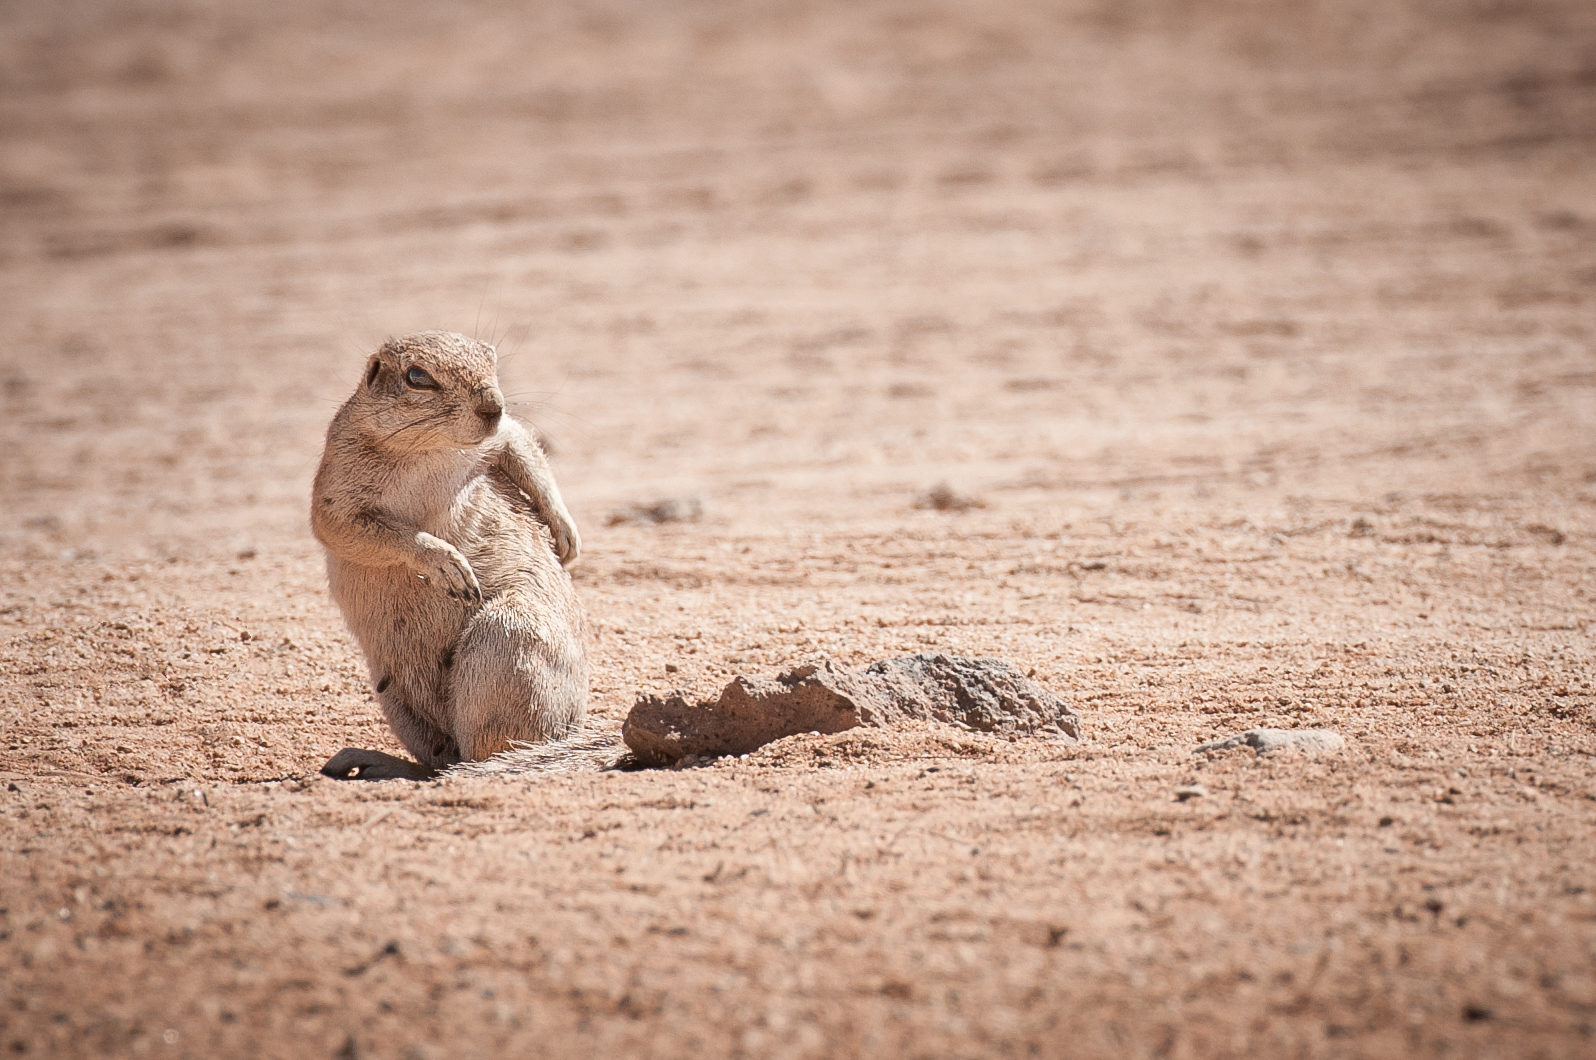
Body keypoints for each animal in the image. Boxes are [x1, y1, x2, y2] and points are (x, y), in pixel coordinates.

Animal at [311, 332, 587, 779]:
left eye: (490, 358)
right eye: (417, 376)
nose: (493, 406)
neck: (431, 449)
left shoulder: (500, 435)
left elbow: (523, 445)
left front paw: (566, 535)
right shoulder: (338, 488)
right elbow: (343, 527)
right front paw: (447, 563)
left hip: (508, 635)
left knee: (476, 757)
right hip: (395, 698)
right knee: (446, 760)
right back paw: (376, 762)